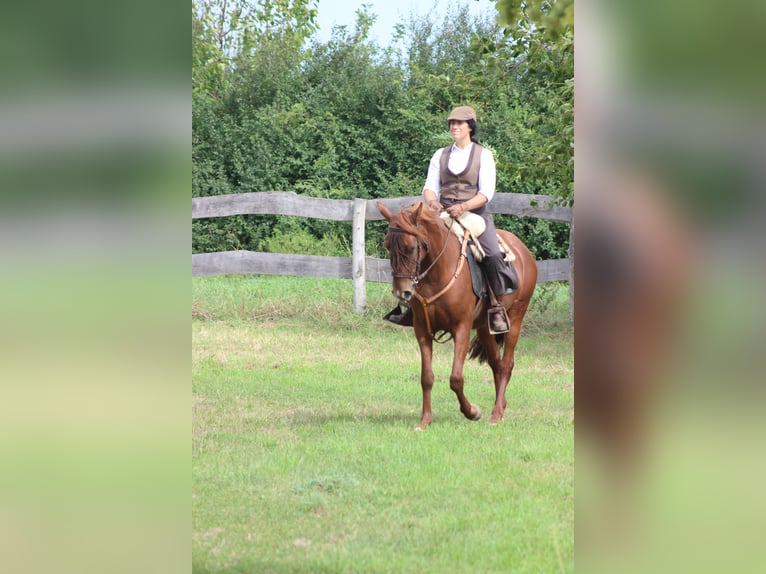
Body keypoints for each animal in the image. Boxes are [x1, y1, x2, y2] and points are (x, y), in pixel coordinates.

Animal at [380, 200, 540, 430]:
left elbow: (456, 378)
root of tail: (522, 249)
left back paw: (496, 414)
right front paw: (425, 421)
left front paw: (472, 411)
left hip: (516, 318)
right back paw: (500, 406)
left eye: (410, 247)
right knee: (496, 364)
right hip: (484, 329)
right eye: (387, 245)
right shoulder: (422, 331)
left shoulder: (461, 329)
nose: (402, 292)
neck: (437, 272)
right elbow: (426, 377)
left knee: (507, 364)